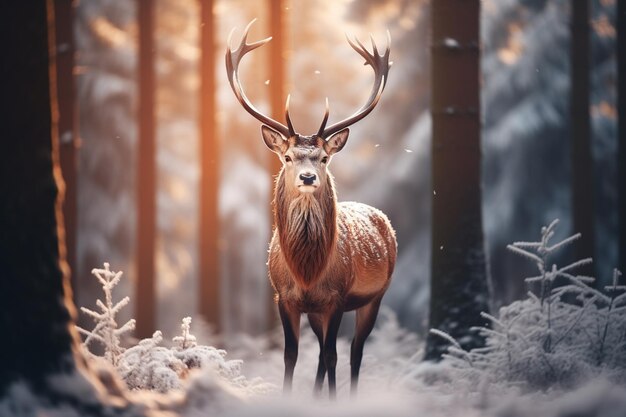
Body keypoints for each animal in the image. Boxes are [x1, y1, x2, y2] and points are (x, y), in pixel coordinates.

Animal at [224, 21, 394, 398]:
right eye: (288, 157)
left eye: (324, 158)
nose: (307, 176)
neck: (307, 270)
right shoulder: (284, 297)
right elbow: (292, 355)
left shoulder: (337, 297)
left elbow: (333, 355)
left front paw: (332, 400)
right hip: (317, 312)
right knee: (320, 353)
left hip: (374, 297)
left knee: (354, 351)